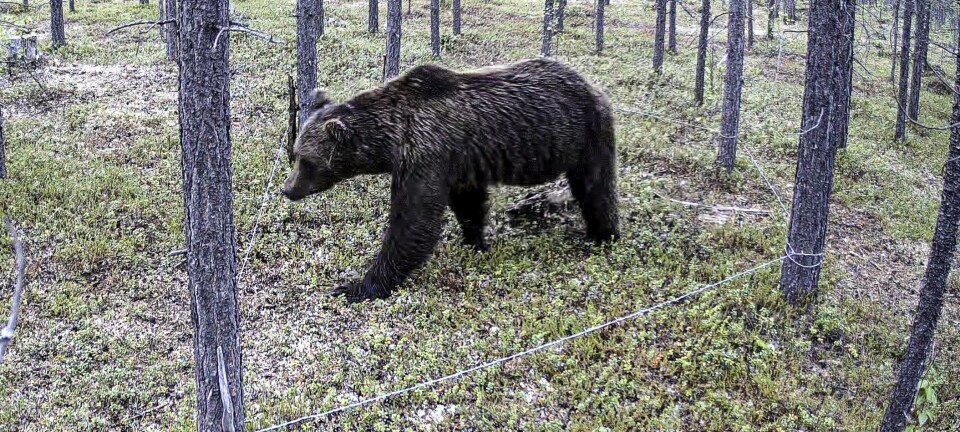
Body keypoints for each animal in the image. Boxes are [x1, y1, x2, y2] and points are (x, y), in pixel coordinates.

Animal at [281, 57, 620, 303]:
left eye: (306, 161)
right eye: (295, 152)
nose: (288, 189)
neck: (391, 140)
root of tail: (593, 85)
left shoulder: (425, 154)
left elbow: (413, 223)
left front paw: (357, 287)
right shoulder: (458, 162)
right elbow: (468, 202)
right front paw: (473, 240)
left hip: (587, 134)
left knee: (595, 187)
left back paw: (603, 236)